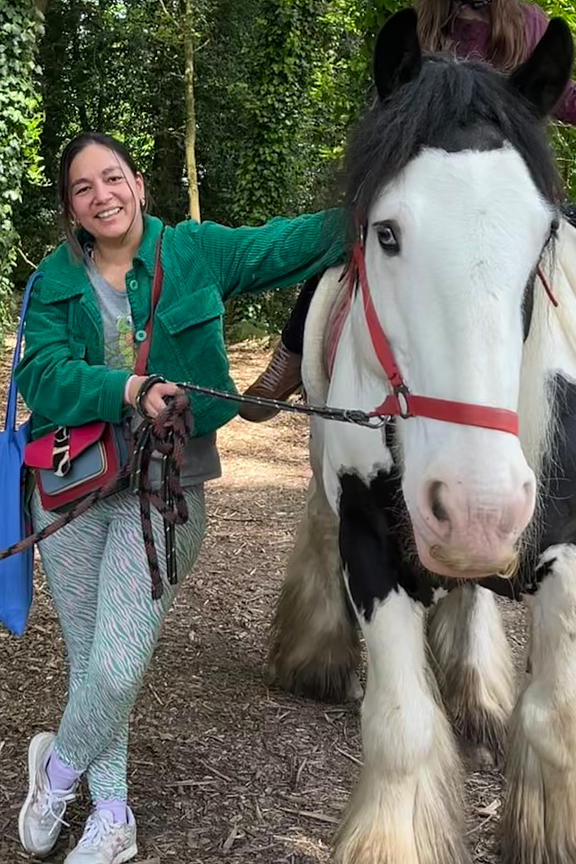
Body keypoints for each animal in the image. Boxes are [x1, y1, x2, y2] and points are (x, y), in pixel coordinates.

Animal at [268, 9, 576, 864]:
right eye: (387, 233)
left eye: (543, 237)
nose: (479, 507)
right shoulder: (371, 539)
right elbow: (401, 728)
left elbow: (555, 715)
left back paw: (476, 691)